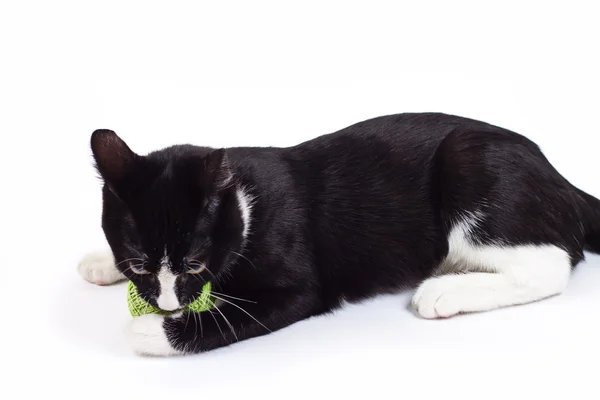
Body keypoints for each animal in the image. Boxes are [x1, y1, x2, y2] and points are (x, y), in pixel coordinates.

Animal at [78, 112, 600, 356]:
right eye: (138, 263)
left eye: (193, 264)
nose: (167, 304)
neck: (243, 203)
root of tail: (558, 175)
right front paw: (101, 262)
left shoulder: (300, 286)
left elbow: (231, 317)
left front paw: (151, 330)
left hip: (471, 166)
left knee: (551, 263)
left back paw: (445, 292)